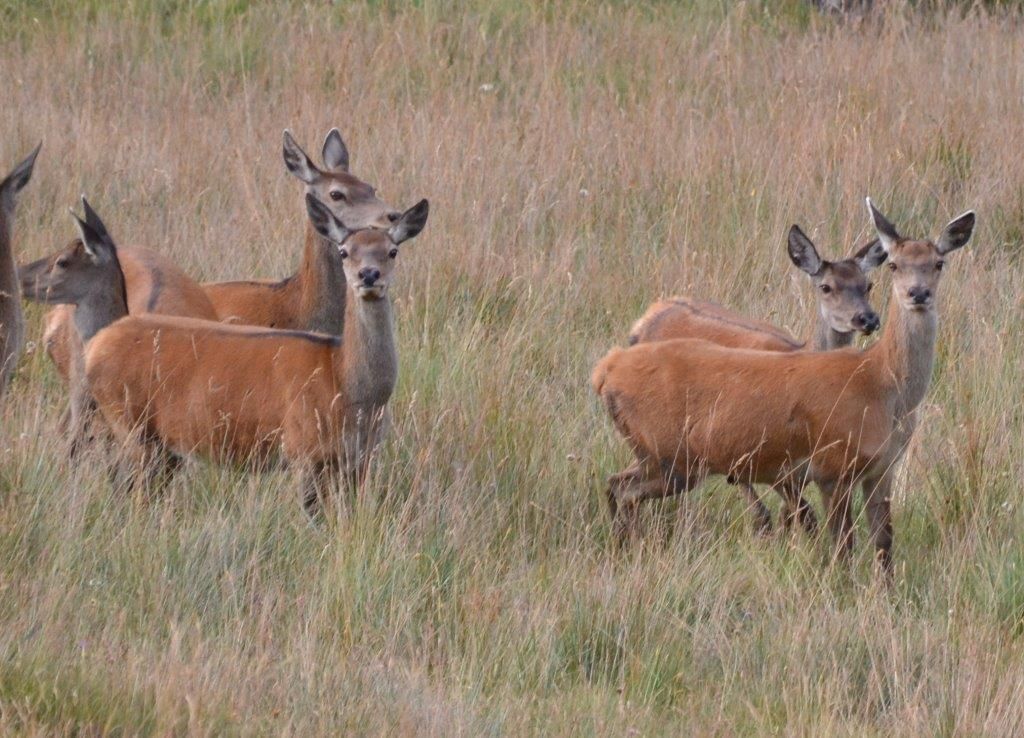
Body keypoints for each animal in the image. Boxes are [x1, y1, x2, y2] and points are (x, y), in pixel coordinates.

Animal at [81, 190, 428, 511]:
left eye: (392, 251)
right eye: (344, 251)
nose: (368, 275)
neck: (348, 386)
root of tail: (97, 344)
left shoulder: (362, 458)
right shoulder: (303, 448)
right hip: (128, 422)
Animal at [626, 230, 884, 536]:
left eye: (868, 285)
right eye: (826, 287)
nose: (867, 318)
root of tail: (644, 320)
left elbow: (793, 513)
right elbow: (803, 515)